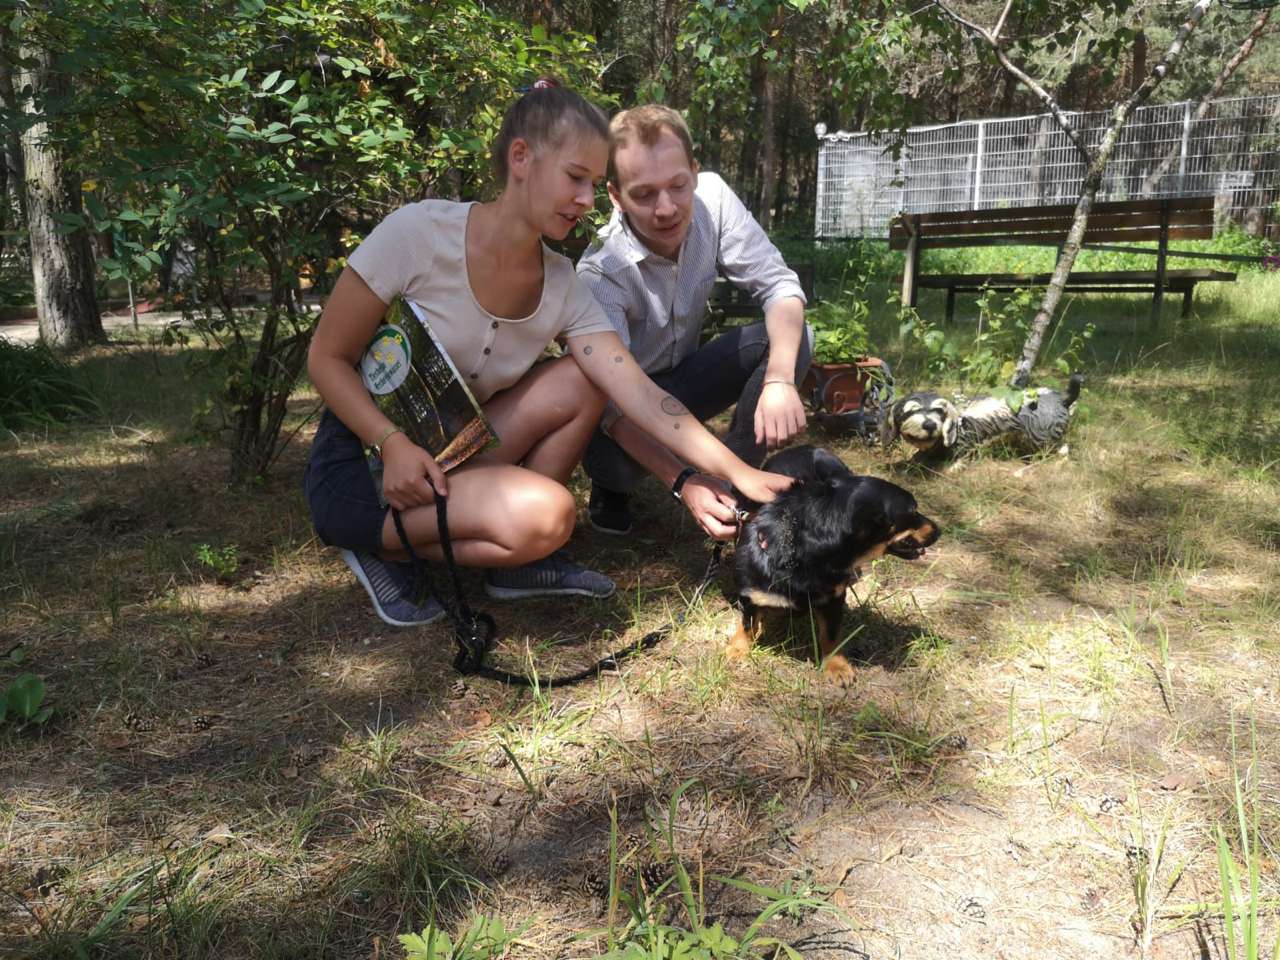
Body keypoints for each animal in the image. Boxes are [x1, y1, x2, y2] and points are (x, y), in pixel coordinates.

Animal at [729, 446, 940, 684]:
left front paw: (836, 666)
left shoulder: (833, 598)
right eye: (913, 511)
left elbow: (830, 634)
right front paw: (739, 649)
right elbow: (748, 624)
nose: (939, 530)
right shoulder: (750, 595)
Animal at [882, 374, 1082, 460]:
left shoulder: (965, 445)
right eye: (910, 411)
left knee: (1056, 449)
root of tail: (1063, 401)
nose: (930, 425)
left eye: (939, 411)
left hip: (1040, 438)